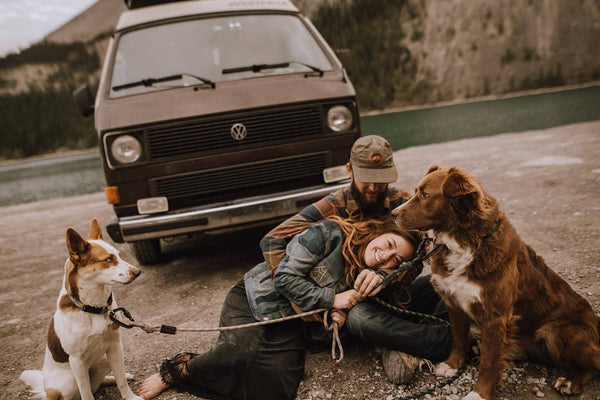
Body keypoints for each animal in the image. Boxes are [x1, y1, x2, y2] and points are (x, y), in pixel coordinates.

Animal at [20, 219, 143, 400]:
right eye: (108, 259)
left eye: (119, 256)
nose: (138, 272)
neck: (95, 307)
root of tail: (46, 388)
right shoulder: (76, 361)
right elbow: (85, 392)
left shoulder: (115, 346)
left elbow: (121, 379)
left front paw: (130, 396)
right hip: (69, 381)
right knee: (82, 390)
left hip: (102, 360)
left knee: (101, 381)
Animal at [394, 166, 600, 400]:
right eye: (416, 192)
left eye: (426, 195)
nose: (393, 214)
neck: (465, 242)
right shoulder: (453, 302)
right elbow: (458, 338)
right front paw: (452, 365)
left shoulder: (495, 316)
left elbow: (490, 361)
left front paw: (479, 393)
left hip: (553, 331)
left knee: (596, 362)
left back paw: (571, 381)